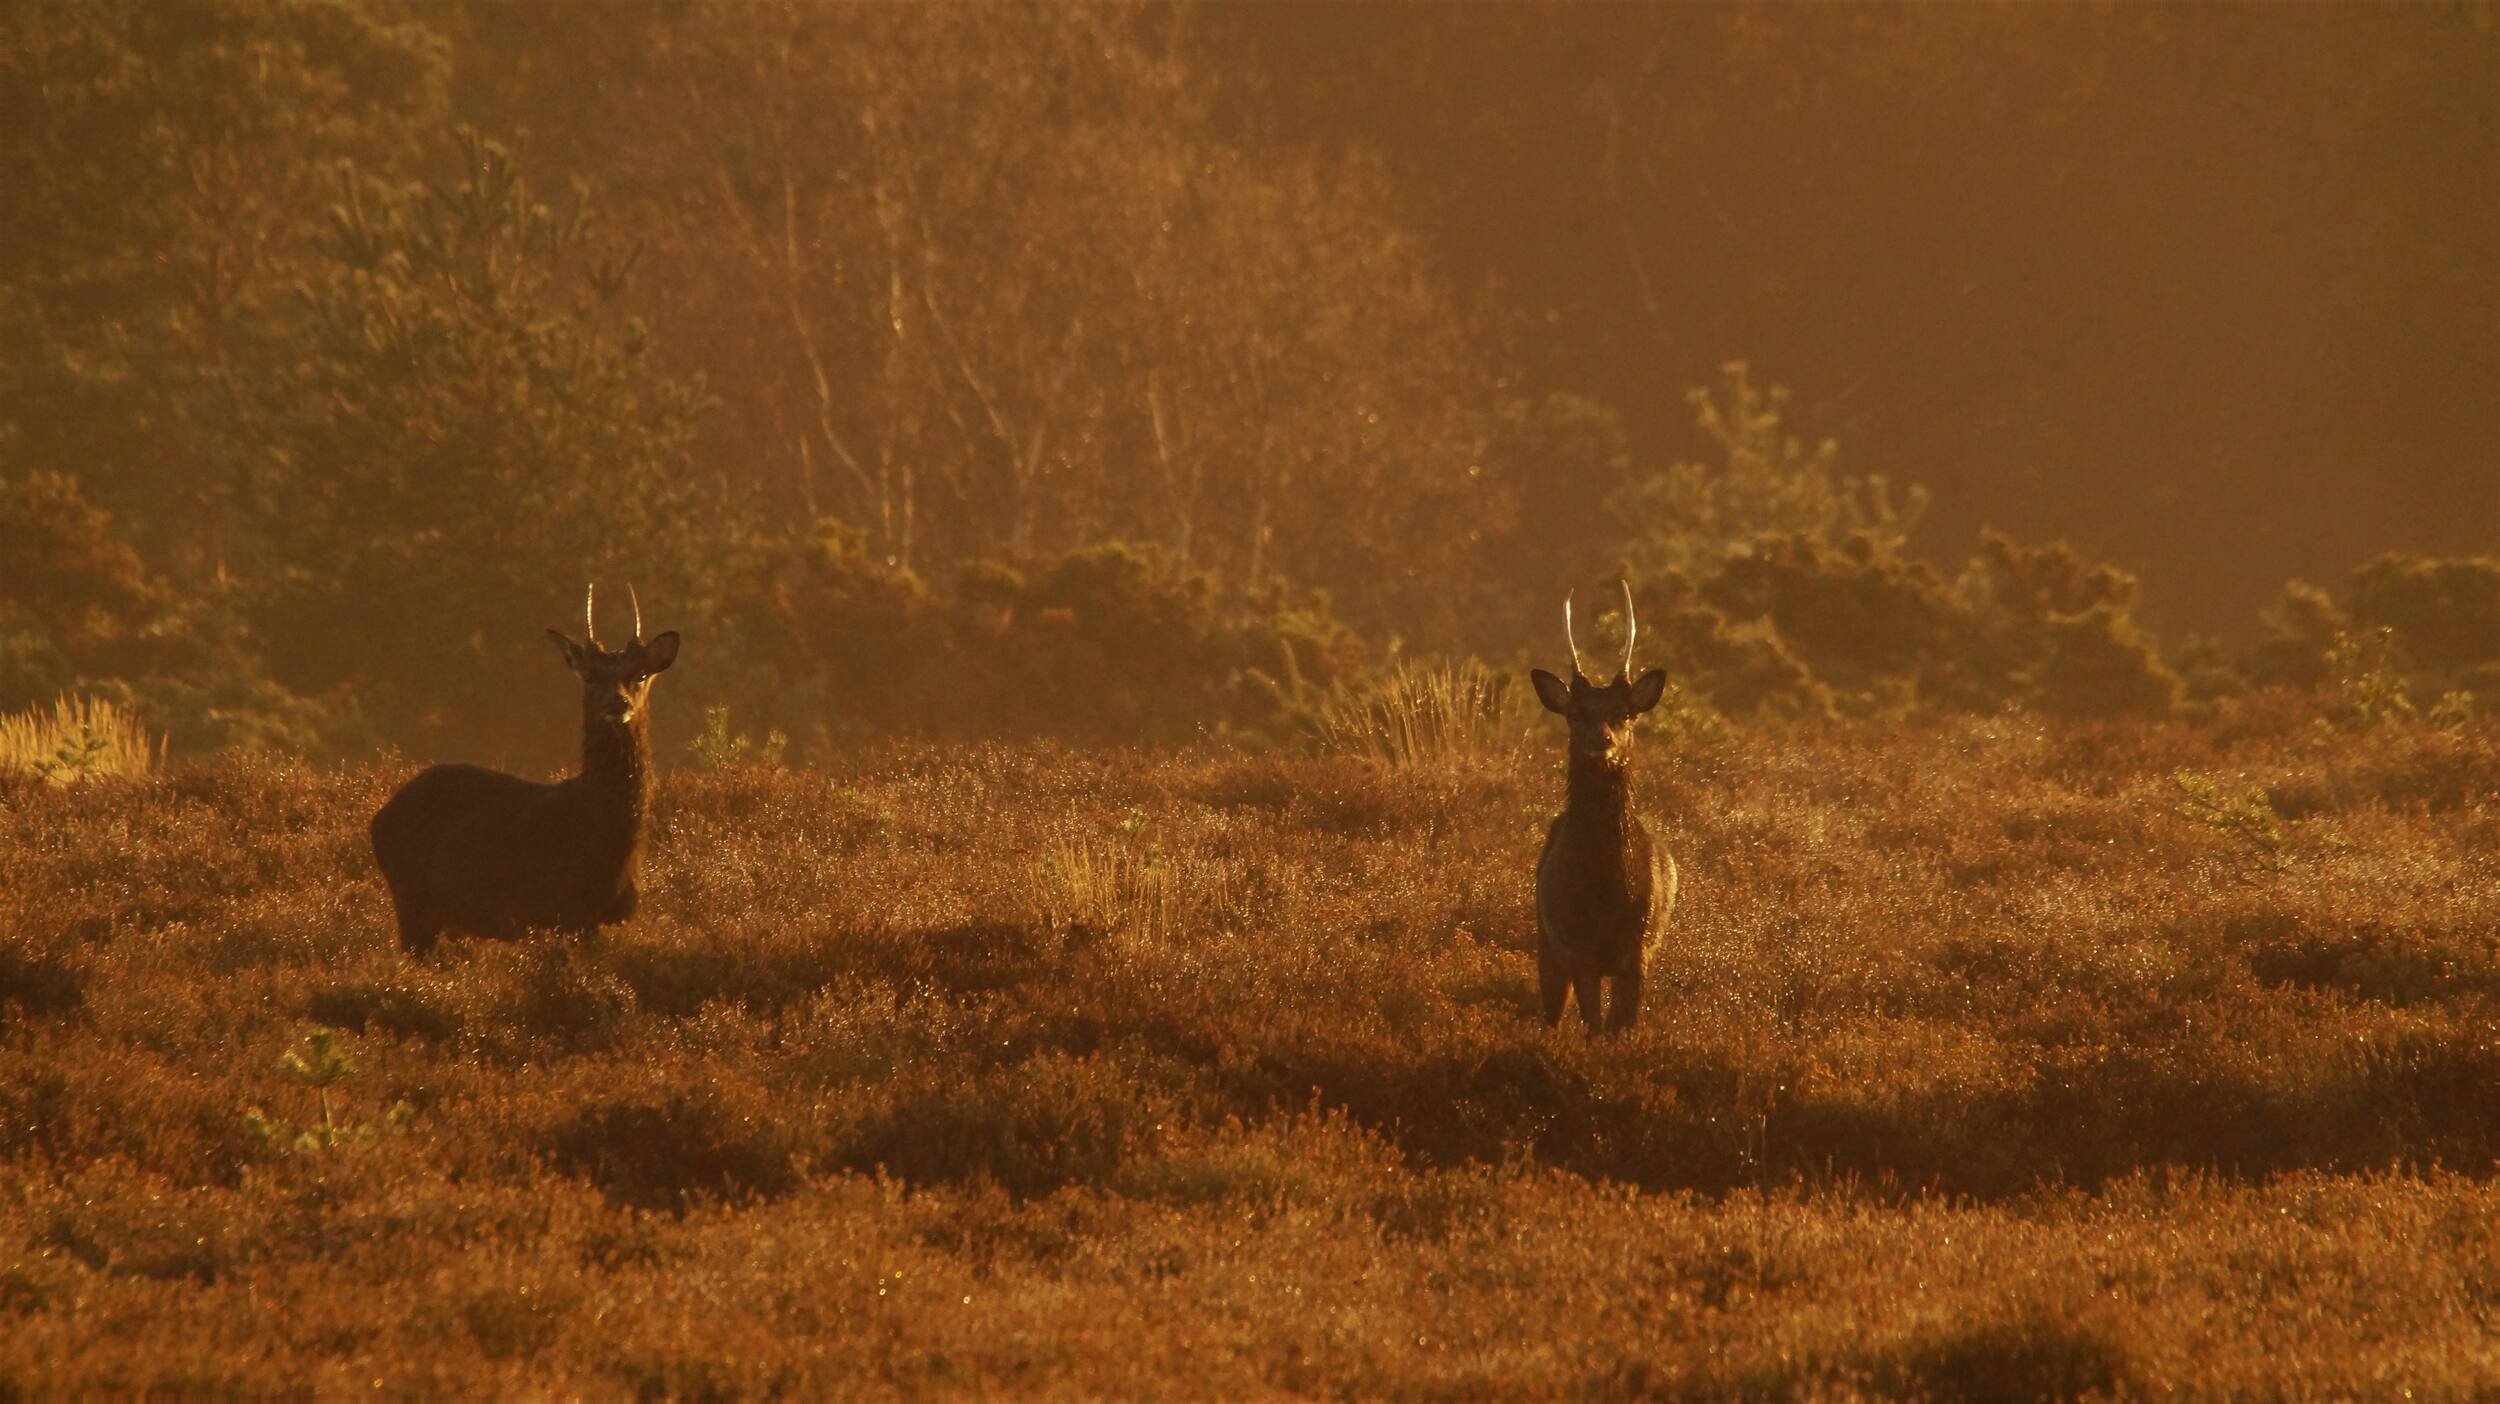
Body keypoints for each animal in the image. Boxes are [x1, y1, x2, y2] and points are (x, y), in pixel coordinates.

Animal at [370, 585, 680, 956]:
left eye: (640, 675)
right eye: (590, 676)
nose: (618, 703)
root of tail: (378, 819)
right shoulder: (557, 914)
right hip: (411, 903)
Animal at [1530, 579, 1676, 1034]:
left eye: (1625, 713)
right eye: (1575, 714)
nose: (1602, 739)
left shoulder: (1639, 948)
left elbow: (1620, 1028)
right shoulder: (1577, 948)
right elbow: (1594, 1027)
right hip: (1544, 938)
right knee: (1551, 1012)